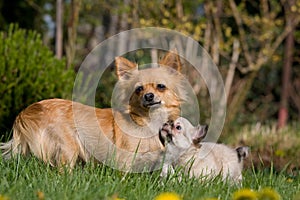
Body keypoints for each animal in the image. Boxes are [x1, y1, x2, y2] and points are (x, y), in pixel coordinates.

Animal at [1, 50, 186, 171]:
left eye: (161, 86)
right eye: (139, 89)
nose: (148, 96)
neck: (148, 121)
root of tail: (28, 111)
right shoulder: (125, 158)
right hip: (68, 146)